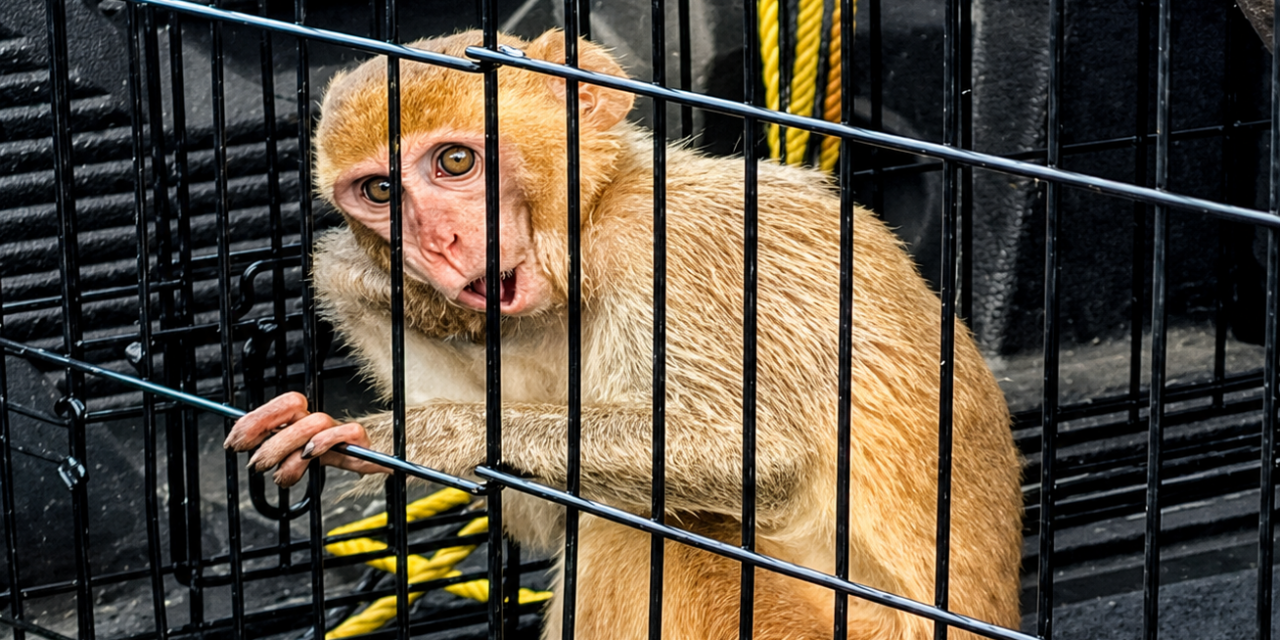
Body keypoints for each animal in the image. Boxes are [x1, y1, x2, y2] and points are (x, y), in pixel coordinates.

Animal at [224, 29, 1023, 640]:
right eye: (381, 191)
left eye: (455, 161)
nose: (438, 244)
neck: (596, 212)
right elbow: (541, 514)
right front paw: (353, 290)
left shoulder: (671, 253)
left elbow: (757, 458)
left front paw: (427, 435)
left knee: (640, 528)